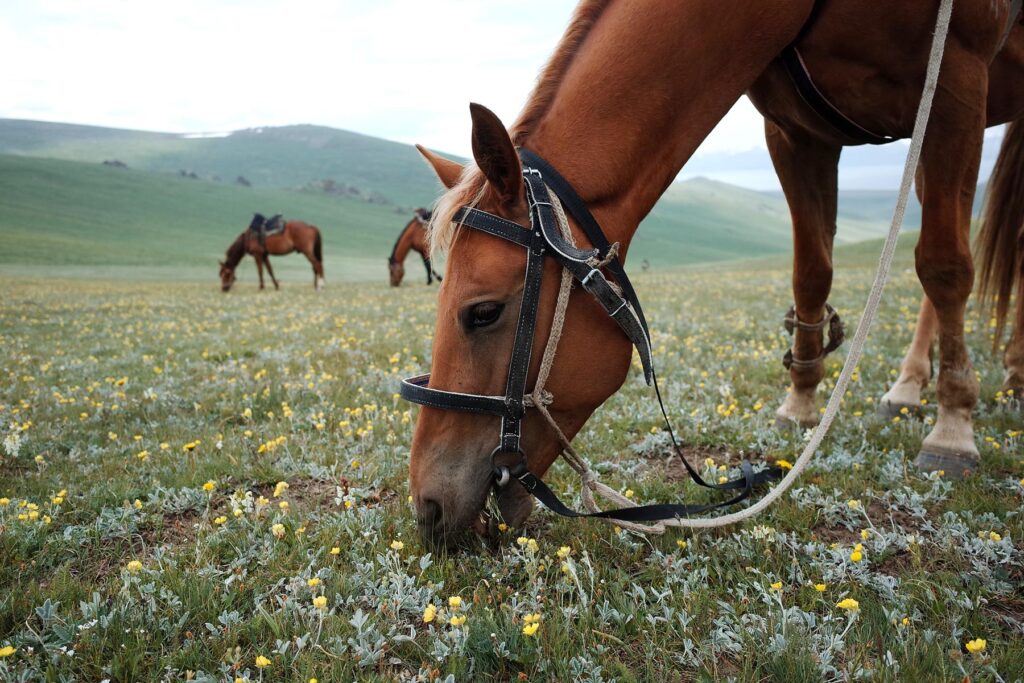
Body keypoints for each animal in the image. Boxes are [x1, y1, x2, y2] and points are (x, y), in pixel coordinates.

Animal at [405, 0, 1024, 546]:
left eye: (483, 312)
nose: (426, 506)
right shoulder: (795, 134)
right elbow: (812, 271)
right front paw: (800, 401)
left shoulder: (956, 82)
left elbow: (944, 266)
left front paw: (954, 429)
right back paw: (917, 385)